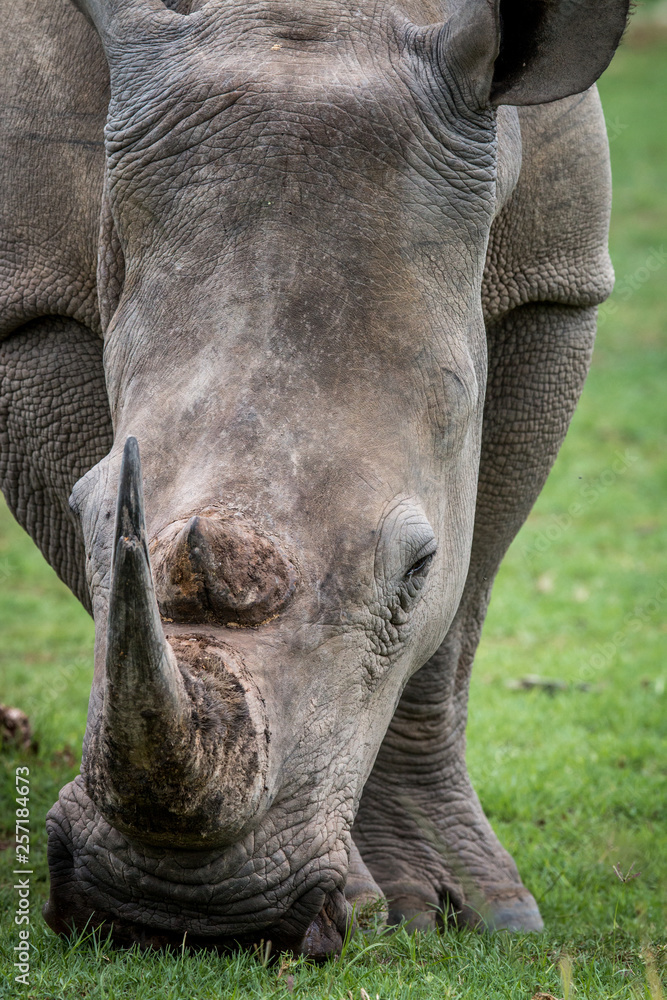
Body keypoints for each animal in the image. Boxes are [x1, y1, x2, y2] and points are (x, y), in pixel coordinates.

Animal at [0, 0, 629, 958]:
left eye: (414, 568)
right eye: (82, 512)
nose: (182, 914)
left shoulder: (556, 288)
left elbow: (454, 620)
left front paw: (475, 909)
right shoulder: (23, 303)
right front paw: (377, 904)